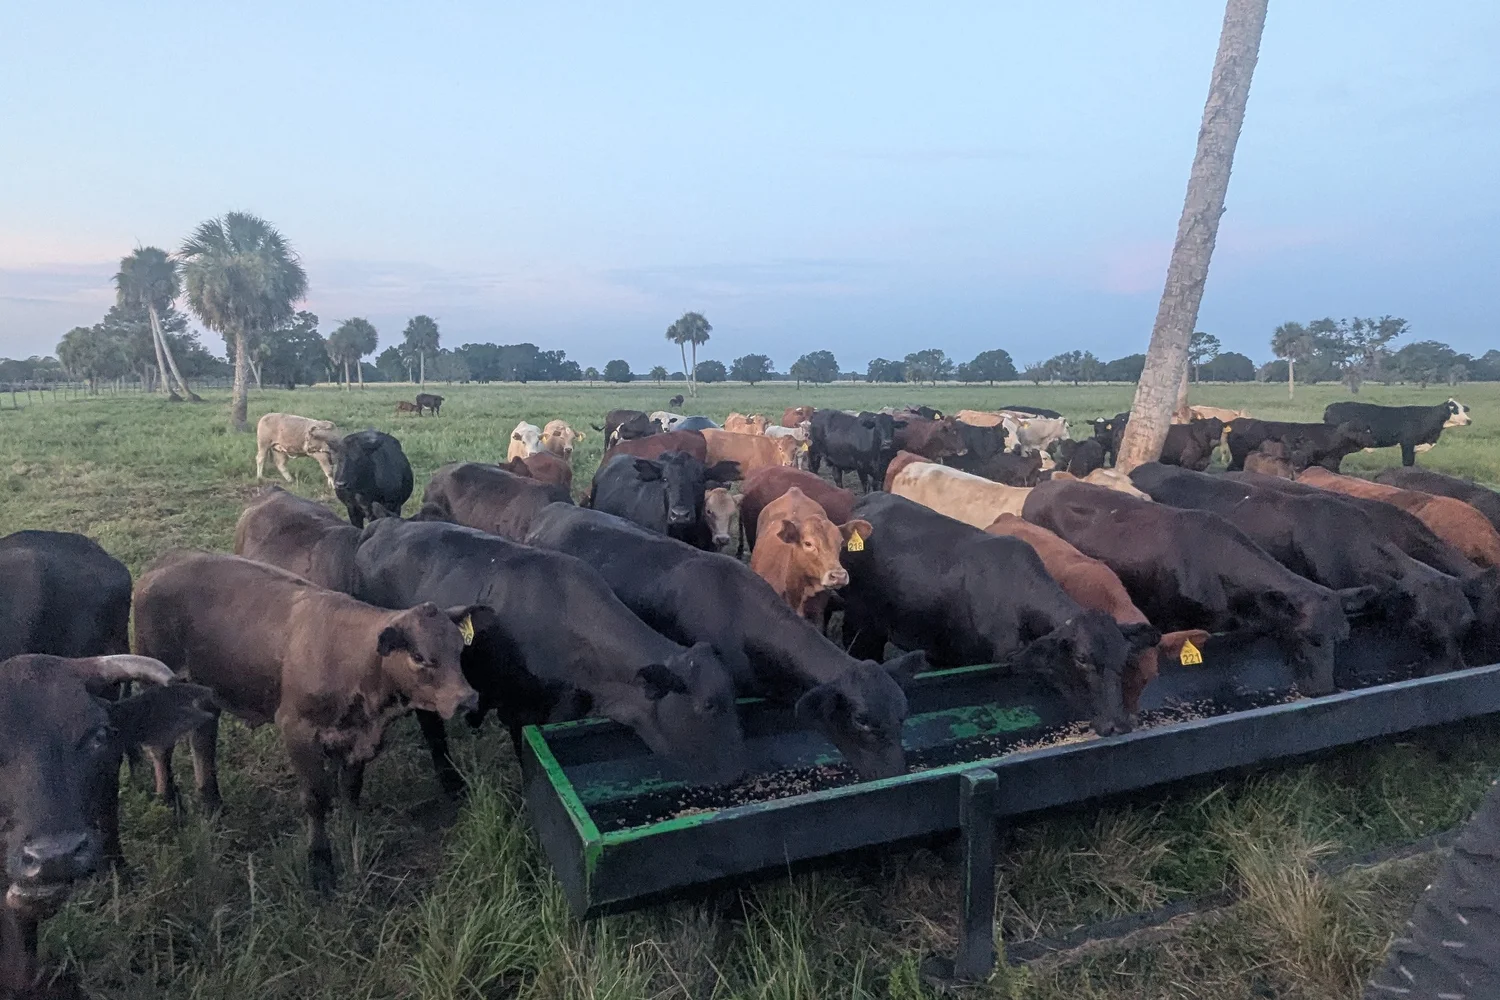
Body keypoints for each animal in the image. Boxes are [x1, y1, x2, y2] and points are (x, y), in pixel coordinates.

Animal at [133, 551, 482, 888]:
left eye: (459, 649)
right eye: (419, 657)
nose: (466, 698)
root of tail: (162, 564)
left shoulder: (356, 739)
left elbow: (351, 790)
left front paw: (353, 834)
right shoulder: (298, 731)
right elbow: (316, 799)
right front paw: (320, 862)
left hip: (206, 691)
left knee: (203, 741)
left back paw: (212, 803)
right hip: (158, 684)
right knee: (161, 746)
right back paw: (169, 801)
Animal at [352, 518, 746, 793]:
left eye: (733, 696)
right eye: (709, 705)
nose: (739, 774)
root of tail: (386, 524)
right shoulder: (518, 712)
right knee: (432, 729)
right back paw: (452, 786)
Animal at [1324, 398, 1471, 467]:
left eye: (1464, 409)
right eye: (1454, 410)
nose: (1469, 421)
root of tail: (1331, 406)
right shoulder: (1407, 444)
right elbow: (1407, 463)